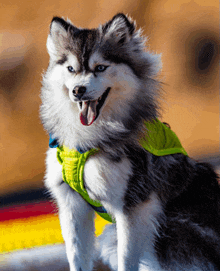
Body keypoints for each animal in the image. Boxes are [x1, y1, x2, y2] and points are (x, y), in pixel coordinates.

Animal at [40, 13, 220, 271]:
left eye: (101, 67)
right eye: (71, 69)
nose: (78, 90)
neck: (86, 142)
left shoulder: (134, 206)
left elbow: (127, 259)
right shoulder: (71, 203)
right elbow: (77, 256)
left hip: (167, 230)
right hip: (112, 236)